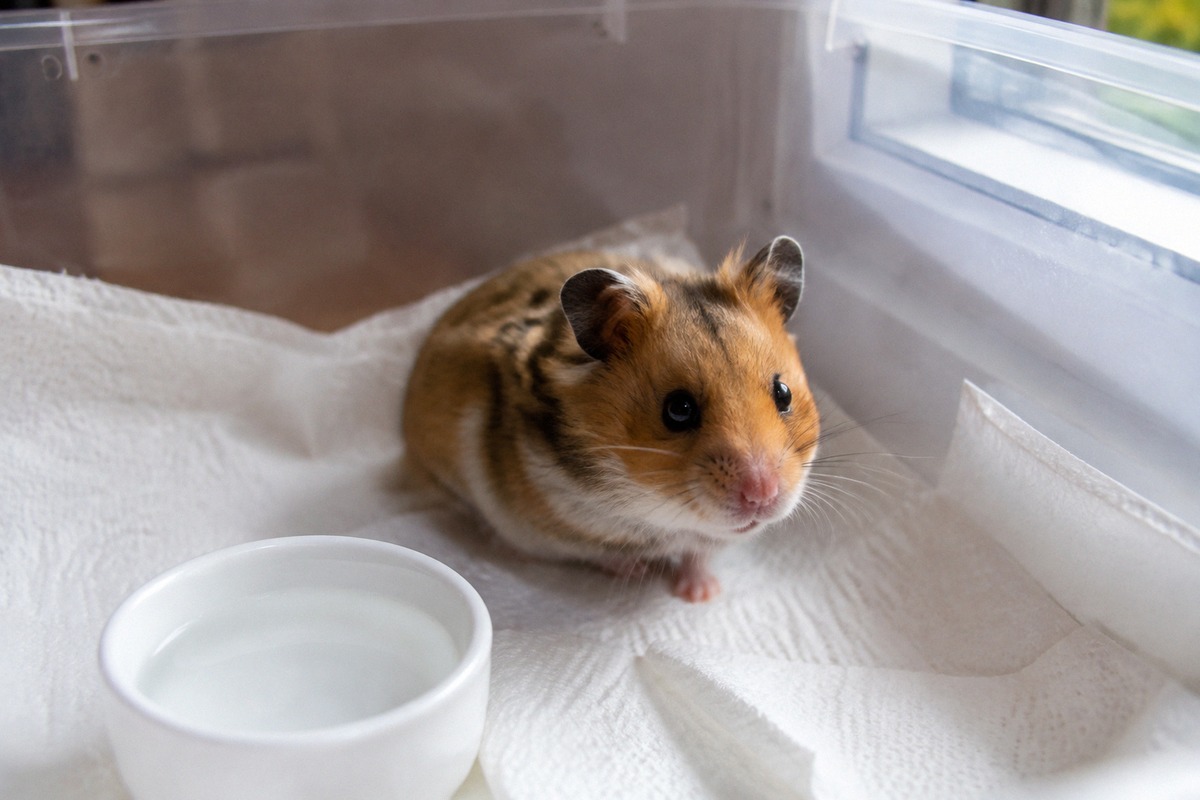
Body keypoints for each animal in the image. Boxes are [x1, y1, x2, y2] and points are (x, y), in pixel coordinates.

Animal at [402, 236, 819, 602]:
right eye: (678, 409)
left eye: (784, 394)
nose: (762, 495)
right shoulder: (554, 530)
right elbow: (604, 554)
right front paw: (640, 572)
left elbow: (697, 557)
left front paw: (701, 595)